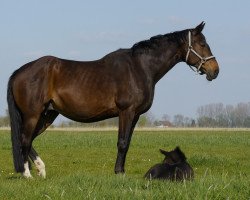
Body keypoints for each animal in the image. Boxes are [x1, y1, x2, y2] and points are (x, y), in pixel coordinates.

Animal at [7, 22, 219, 178]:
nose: (215, 70)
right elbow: (122, 142)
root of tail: (20, 71)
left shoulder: (135, 115)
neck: (140, 67)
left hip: (48, 114)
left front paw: (121, 170)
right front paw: (118, 173)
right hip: (33, 114)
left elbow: (128, 142)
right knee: (24, 139)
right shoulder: (126, 111)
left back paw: (41, 169)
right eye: (202, 44)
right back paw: (27, 174)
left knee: (29, 139)